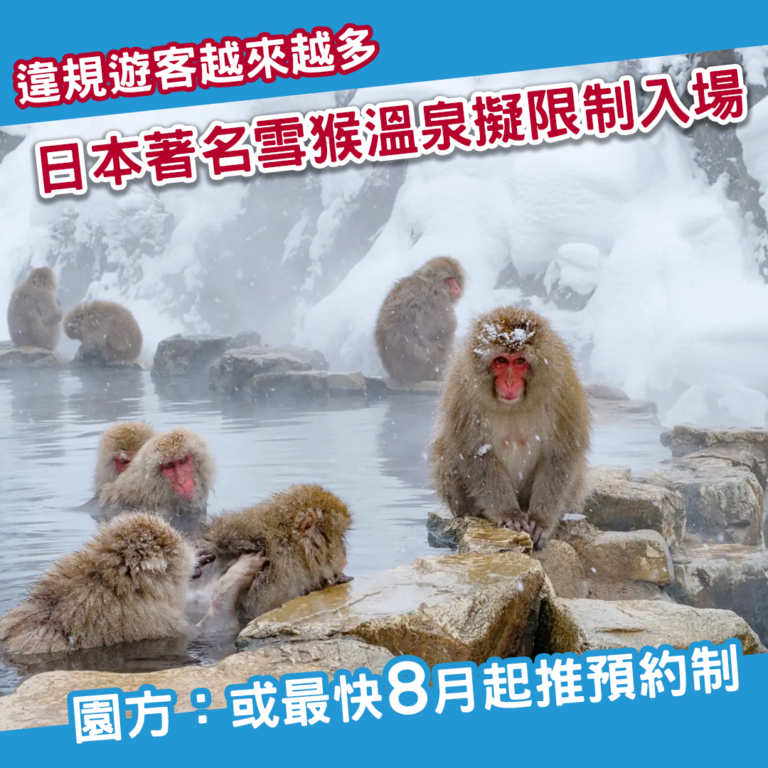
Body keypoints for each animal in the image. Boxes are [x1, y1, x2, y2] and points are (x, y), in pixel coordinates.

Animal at [374, 256, 465, 386]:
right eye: (448, 279)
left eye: (455, 279)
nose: (457, 288)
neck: (430, 283)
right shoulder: (439, 302)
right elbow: (443, 330)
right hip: (434, 364)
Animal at [430, 306, 591, 550]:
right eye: (501, 361)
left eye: (520, 362)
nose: (508, 382)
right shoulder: (463, 390)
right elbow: (475, 454)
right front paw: (509, 514)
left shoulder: (563, 389)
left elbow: (560, 454)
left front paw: (541, 521)